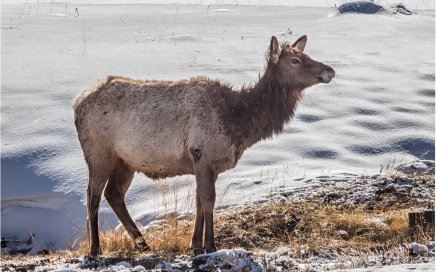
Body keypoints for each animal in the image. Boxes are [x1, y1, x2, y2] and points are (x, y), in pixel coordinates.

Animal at [73, 35, 336, 256]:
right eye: (295, 60)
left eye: (305, 55)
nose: (330, 70)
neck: (238, 123)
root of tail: (77, 104)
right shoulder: (203, 154)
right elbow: (209, 200)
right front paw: (210, 245)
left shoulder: (208, 164)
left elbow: (199, 201)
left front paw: (195, 244)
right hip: (98, 153)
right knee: (92, 195)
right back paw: (95, 249)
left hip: (126, 161)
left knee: (114, 194)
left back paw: (143, 244)